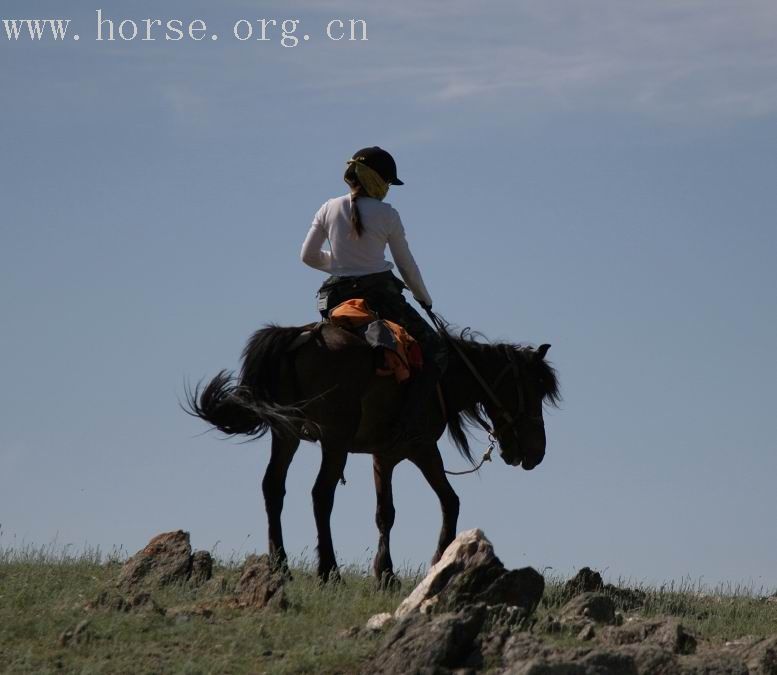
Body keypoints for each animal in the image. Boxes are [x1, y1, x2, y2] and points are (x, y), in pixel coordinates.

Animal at [188, 320, 560, 584]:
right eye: (534, 390)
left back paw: (281, 567)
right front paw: (432, 562)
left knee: (273, 488)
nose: (537, 452)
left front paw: (386, 572)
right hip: (334, 440)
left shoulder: (384, 457)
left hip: (286, 432)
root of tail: (303, 336)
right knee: (321, 495)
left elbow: (386, 512)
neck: (444, 379)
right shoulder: (420, 449)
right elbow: (448, 501)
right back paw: (329, 572)